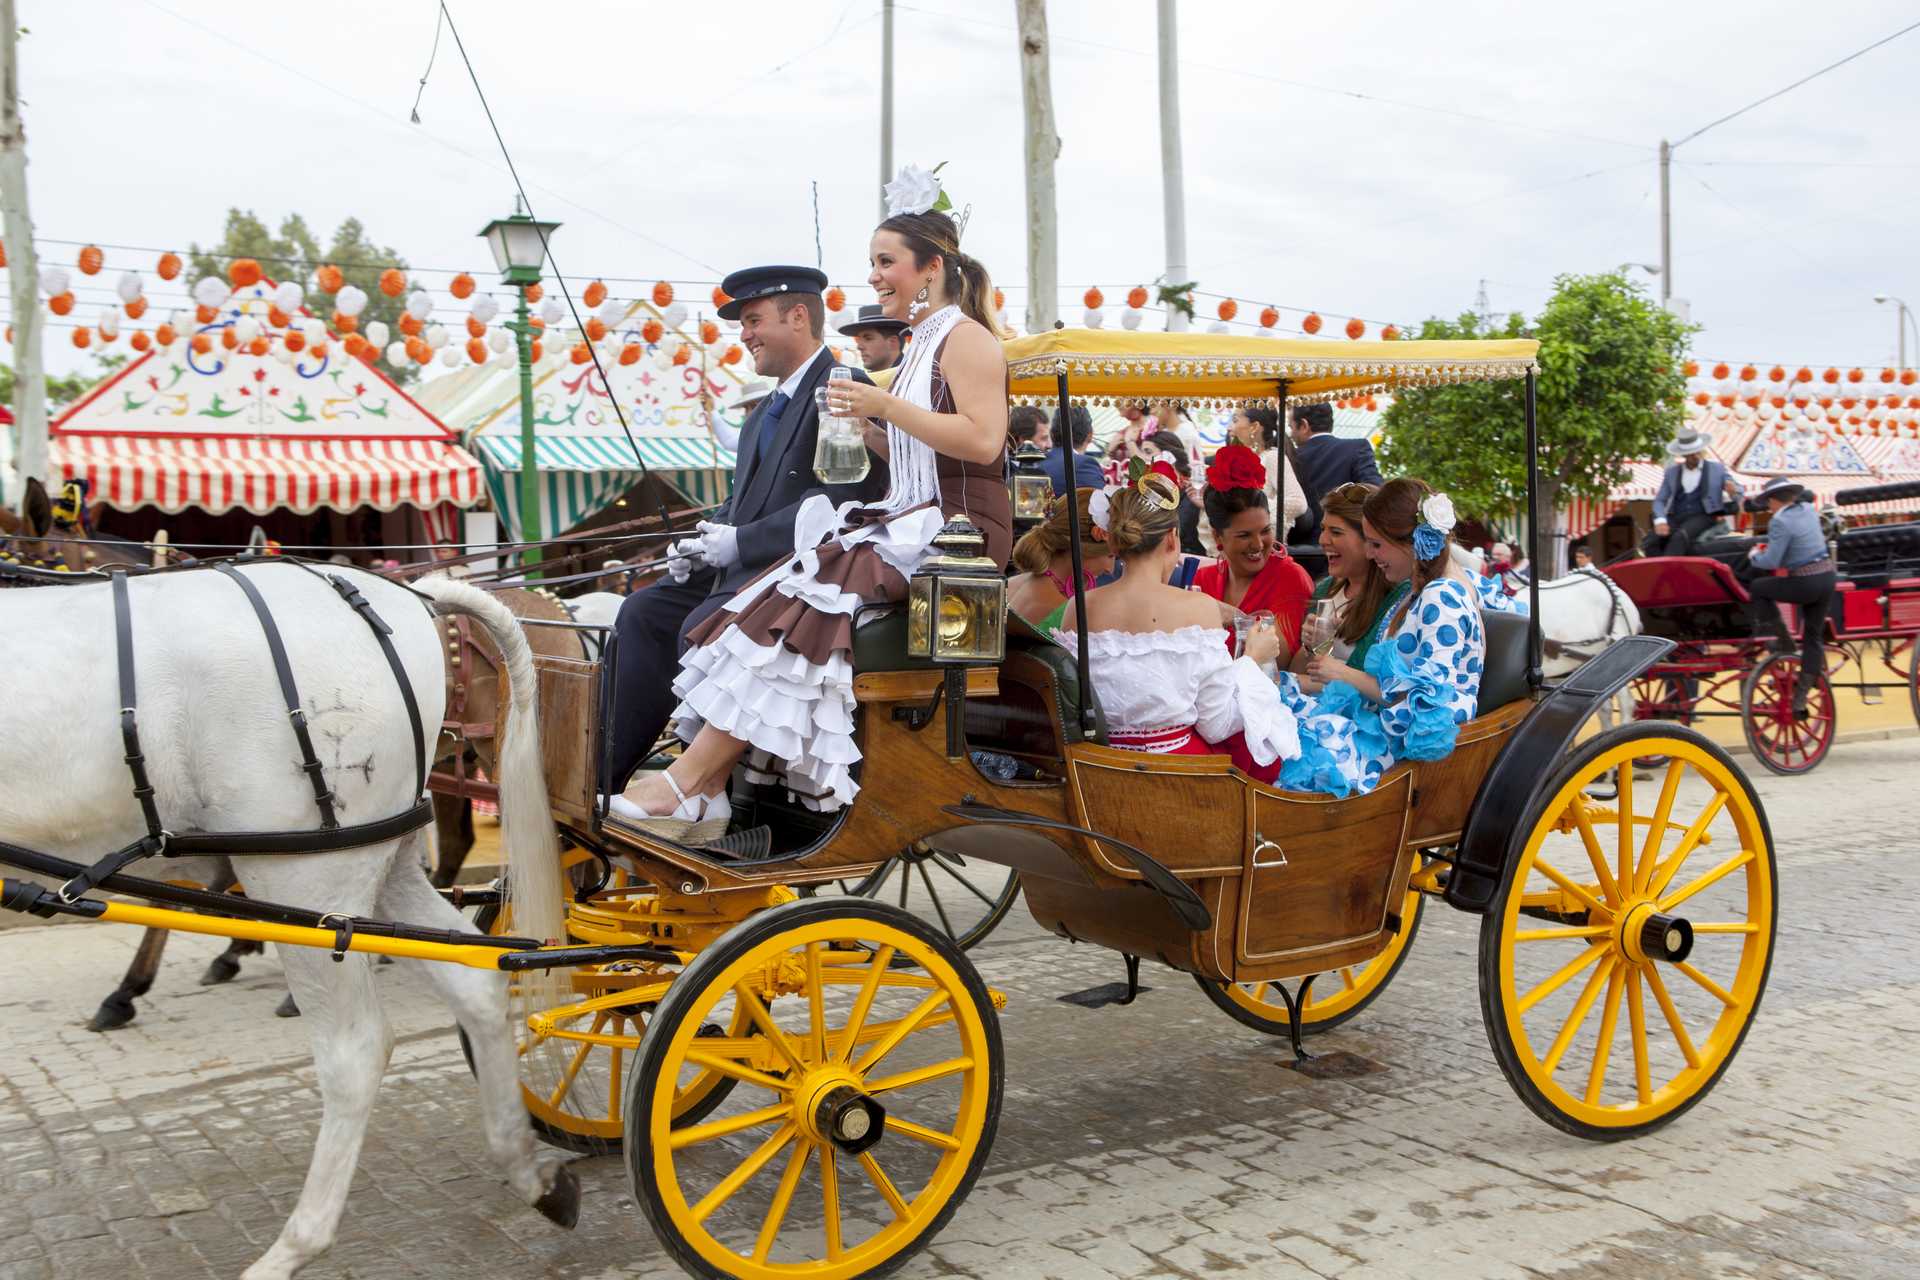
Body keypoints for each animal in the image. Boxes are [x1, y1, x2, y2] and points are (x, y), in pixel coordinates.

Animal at [0, 571, 568, 1280]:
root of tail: (407, 596)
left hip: (307, 874)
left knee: (356, 1052)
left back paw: (295, 1245)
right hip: (381, 863)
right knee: (477, 981)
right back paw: (528, 1171)